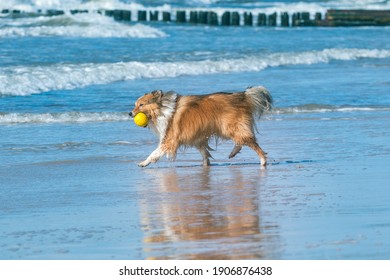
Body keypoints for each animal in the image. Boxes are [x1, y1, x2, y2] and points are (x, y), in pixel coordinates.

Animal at [129, 86, 272, 167]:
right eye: (135, 105)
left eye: (141, 105)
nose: (130, 113)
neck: (162, 109)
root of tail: (242, 96)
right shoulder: (197, 138)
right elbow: (204, 153)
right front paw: (205, 165)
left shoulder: (169, 140)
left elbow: (155, 153)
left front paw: (143, 163)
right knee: (242, 141)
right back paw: (233, 153)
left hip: (229, 127)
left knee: (250, 142)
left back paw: (263, 161)